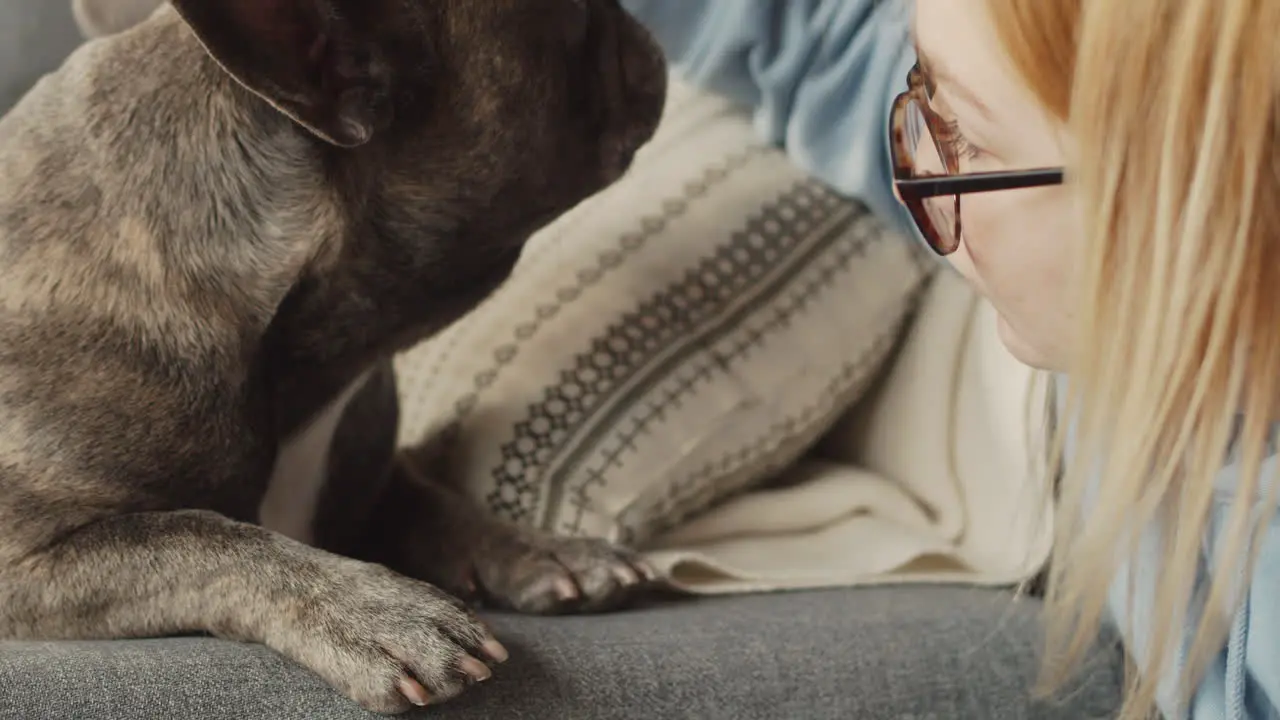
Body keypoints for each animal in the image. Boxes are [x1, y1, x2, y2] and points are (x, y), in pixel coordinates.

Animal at [0, 0, 665, 707]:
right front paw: (379, 614)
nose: (639, 27)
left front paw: (547, 550)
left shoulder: (374, 465)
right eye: (575, 16)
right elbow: (199, 537)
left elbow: (432, 500)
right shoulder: (30, 556)